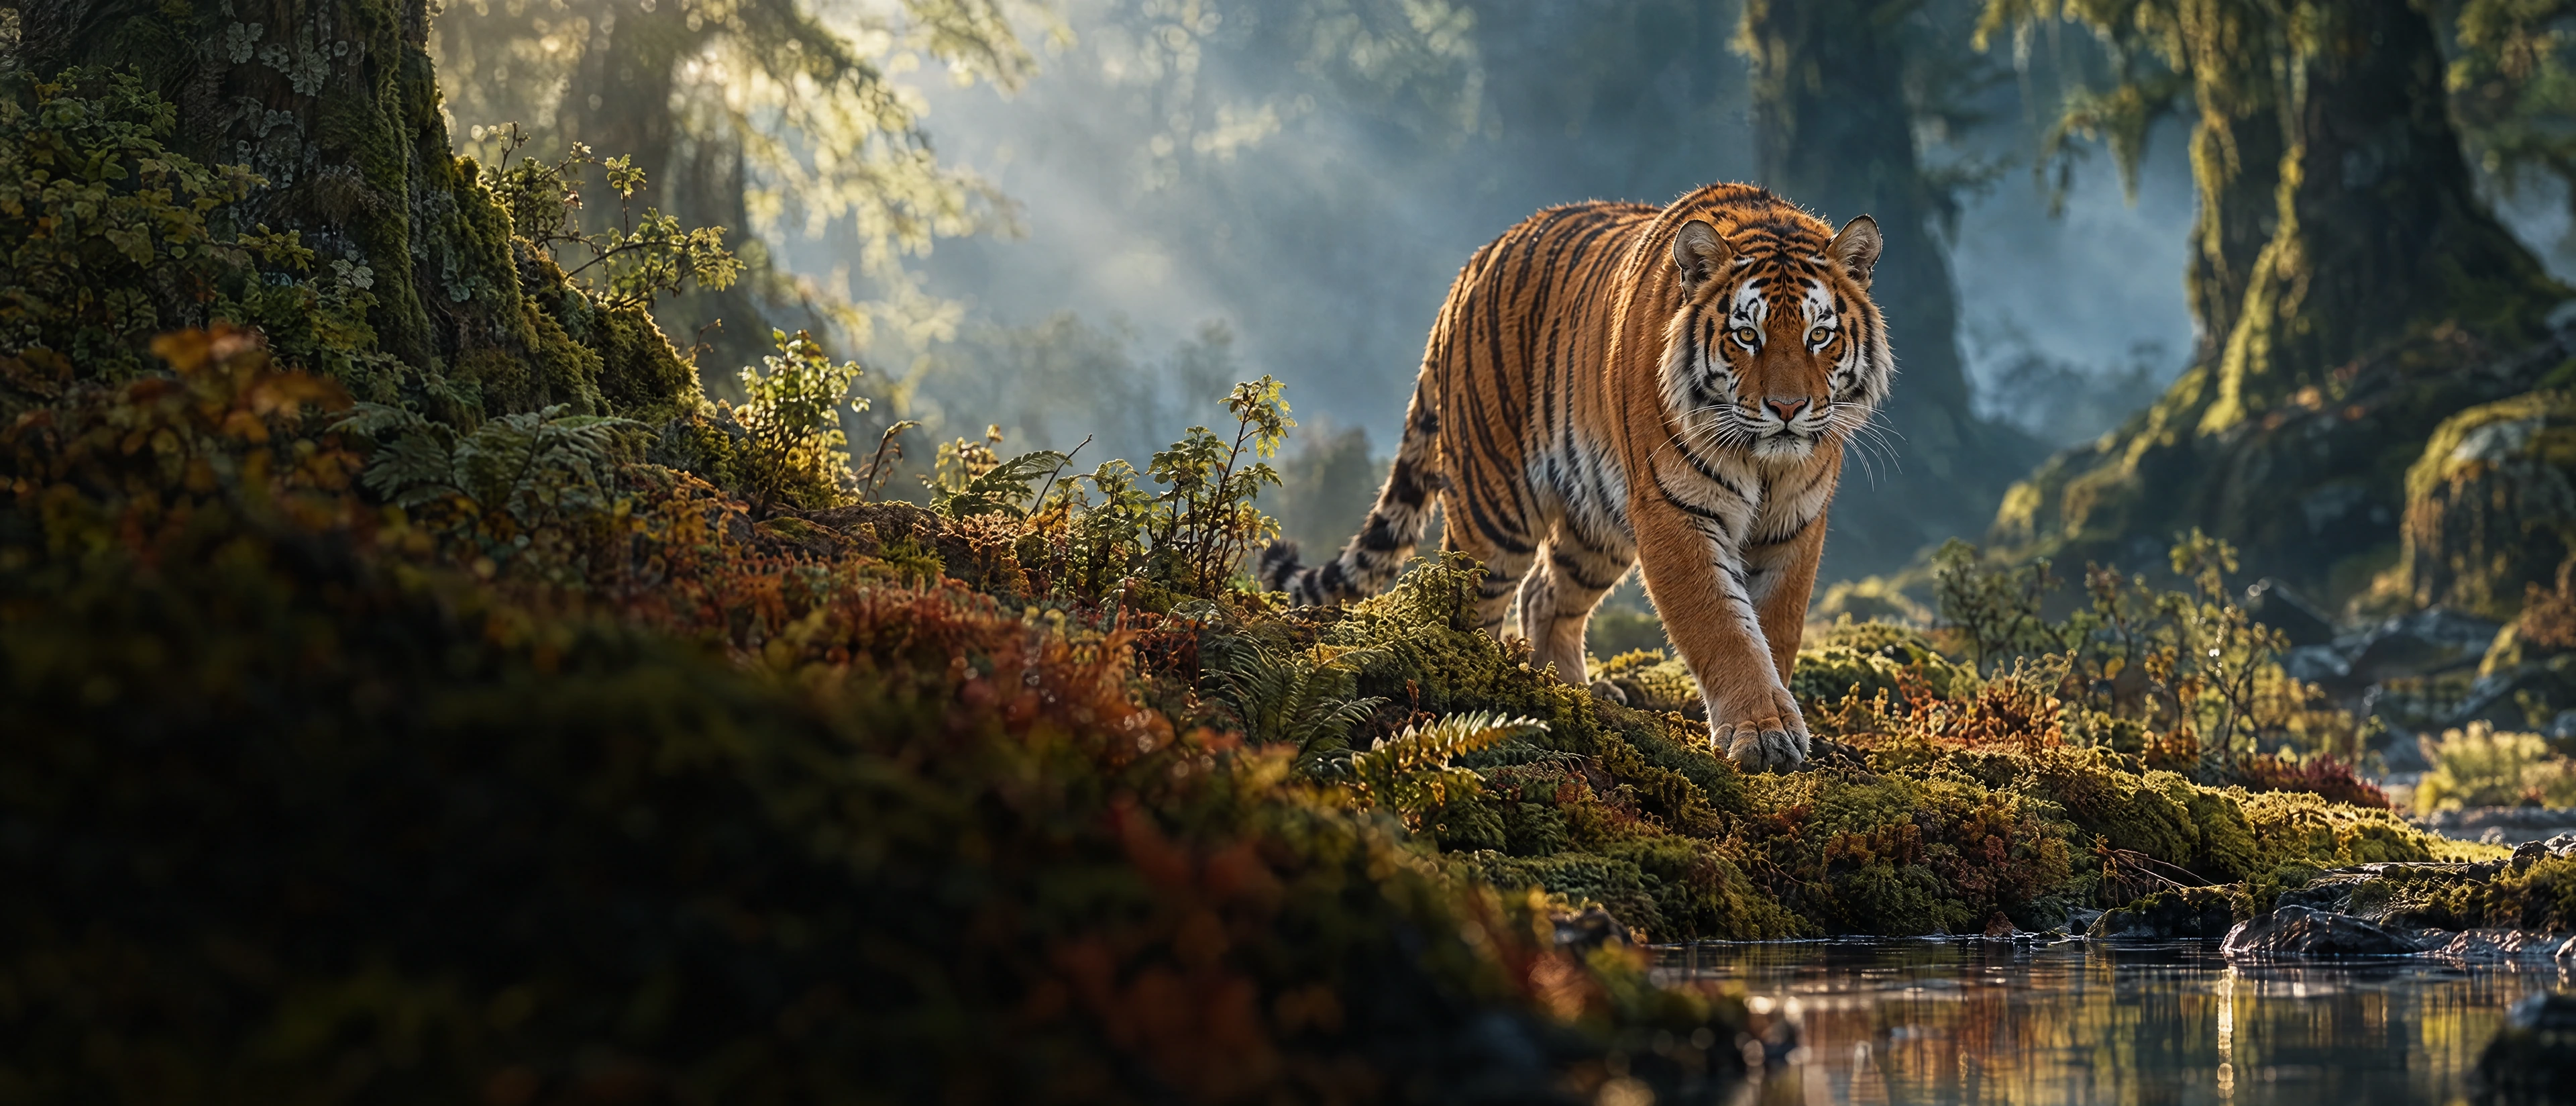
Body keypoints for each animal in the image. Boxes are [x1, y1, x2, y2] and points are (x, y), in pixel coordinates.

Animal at [1258, 183, 1891, 771]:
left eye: (1819, 335)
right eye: (1746, 336)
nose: (1787, 408)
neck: (1766, 462)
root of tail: (1470, 269)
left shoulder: (1795, 524)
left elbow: (1774, 629)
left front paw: (1776, 717)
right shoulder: (1676, 510)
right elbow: (1724, 627)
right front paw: (1762, 731)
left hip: (1597, 525)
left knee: (1546, 593)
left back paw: (1574, 691)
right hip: (1495, 508)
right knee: (1471, 604)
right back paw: (1487, 684)